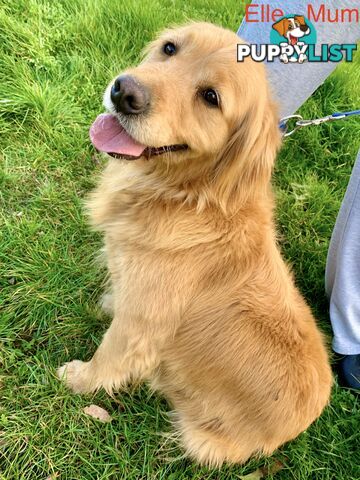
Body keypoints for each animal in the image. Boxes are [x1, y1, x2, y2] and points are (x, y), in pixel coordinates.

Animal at [58, 21, 332, 464]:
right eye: (170, 49)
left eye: (211, 98)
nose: (124, 92)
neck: (185, 196)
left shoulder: (138, 325)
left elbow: (106, 360)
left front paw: (78, 379)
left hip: (201, 440)